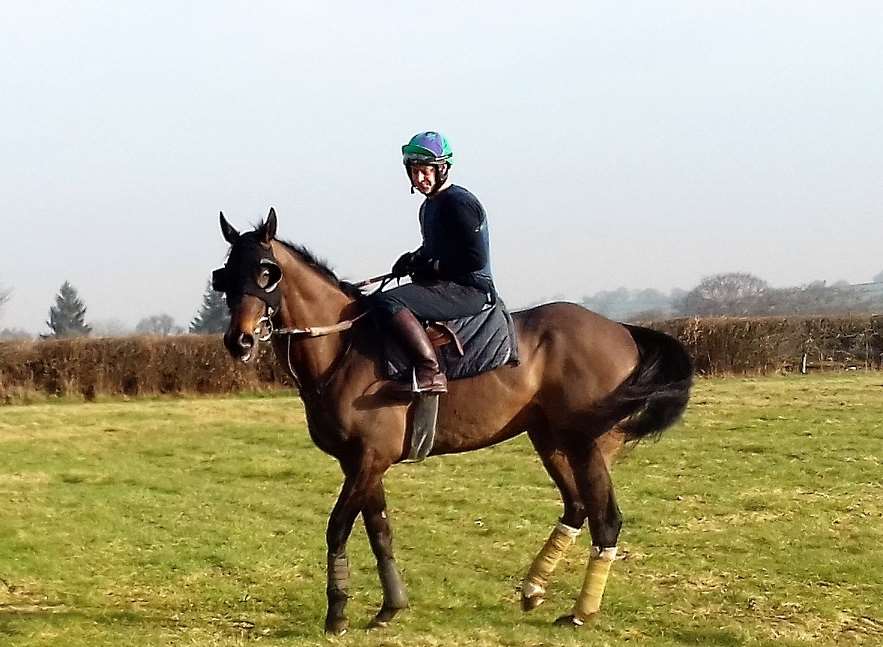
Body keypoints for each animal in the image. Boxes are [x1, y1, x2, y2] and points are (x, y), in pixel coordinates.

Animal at [211, 210, 696, 636]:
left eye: (267, 272)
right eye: (225, 275)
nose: (240, 341)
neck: (344, 348)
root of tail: (622, 329)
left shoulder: (370, 459)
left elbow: (338, 529)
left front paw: (338, 614)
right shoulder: (361, 464)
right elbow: (380, 530)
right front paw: (390, 607)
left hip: (587, 445)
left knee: (605, 519)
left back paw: (580, 612)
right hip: (551, 439)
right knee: (577, 508)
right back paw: (534, 588)